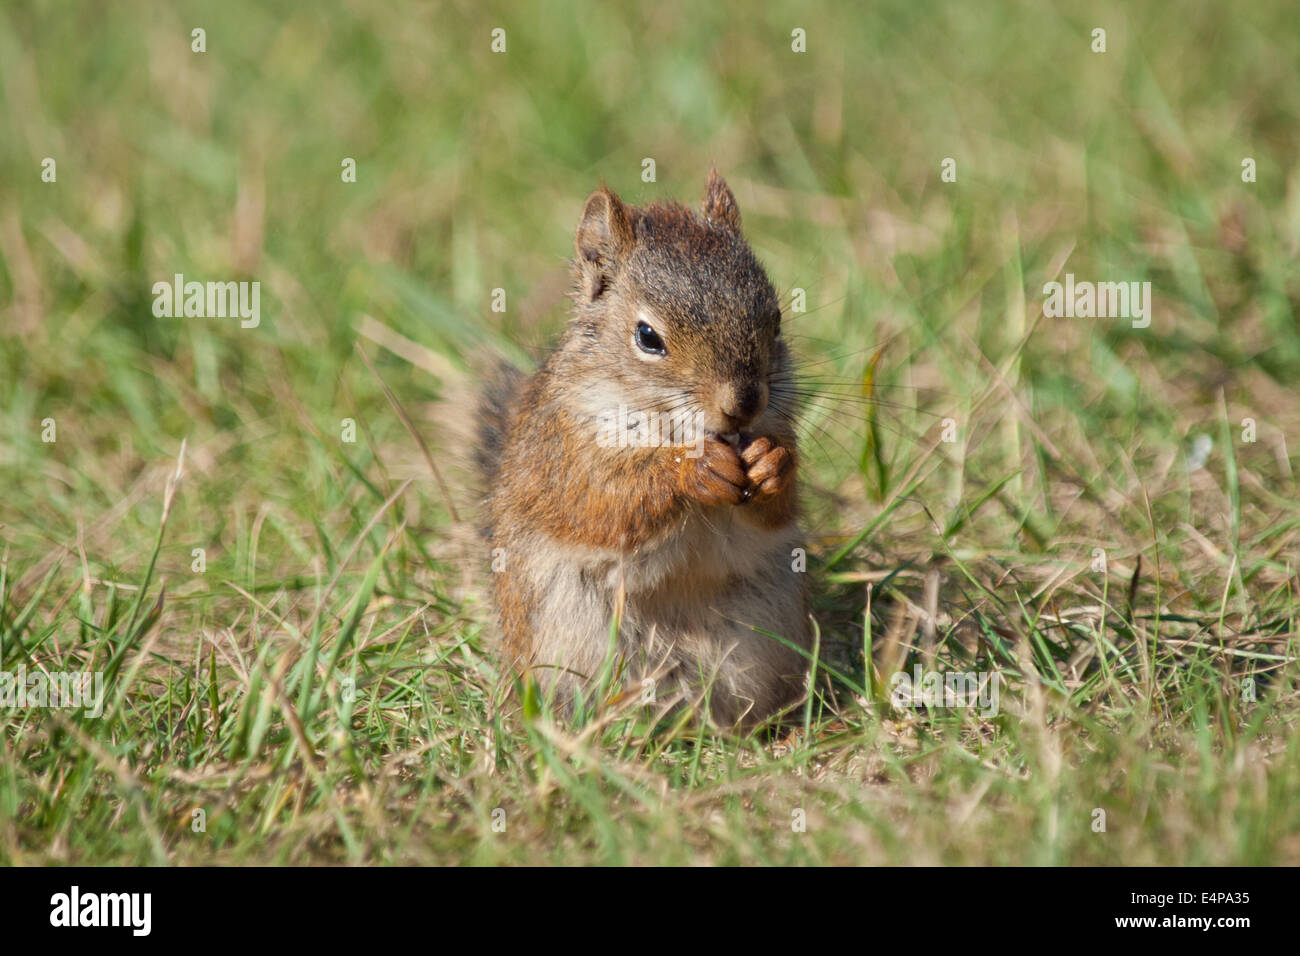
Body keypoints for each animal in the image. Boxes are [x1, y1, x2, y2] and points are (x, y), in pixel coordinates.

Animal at [476, 170, 813, 730]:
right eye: (648, 337)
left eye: (777, 320)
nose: (743, 404)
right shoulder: (564, 453)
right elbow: (603, 504)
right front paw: (693, 471)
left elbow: (779, 510)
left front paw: (772, 464)